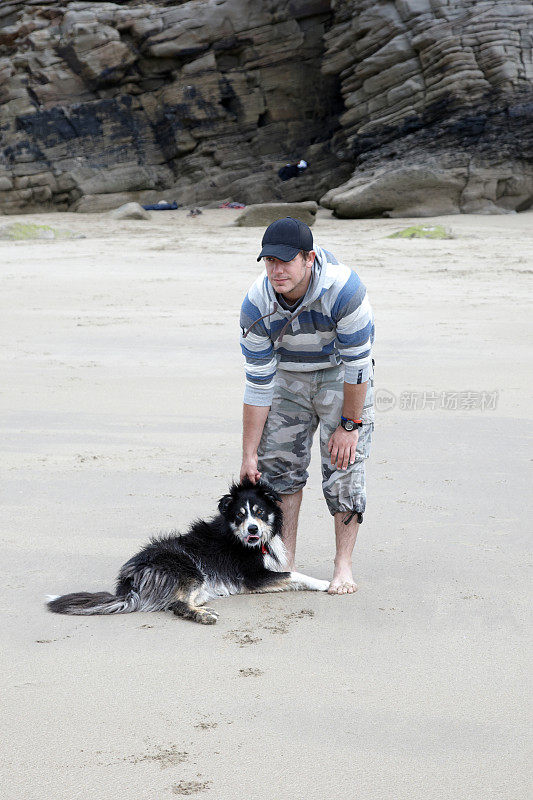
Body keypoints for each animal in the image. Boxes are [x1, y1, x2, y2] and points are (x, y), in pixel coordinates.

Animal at [46, 478, 328, 620]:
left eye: (259, 512)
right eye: (240, 514)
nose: (252, 530)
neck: (241, 539)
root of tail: (129, 581)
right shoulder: (253, 577)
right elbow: (294, 575)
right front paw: (324, 583)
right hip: (189, 569)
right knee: (177, 605)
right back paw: (202, 615)